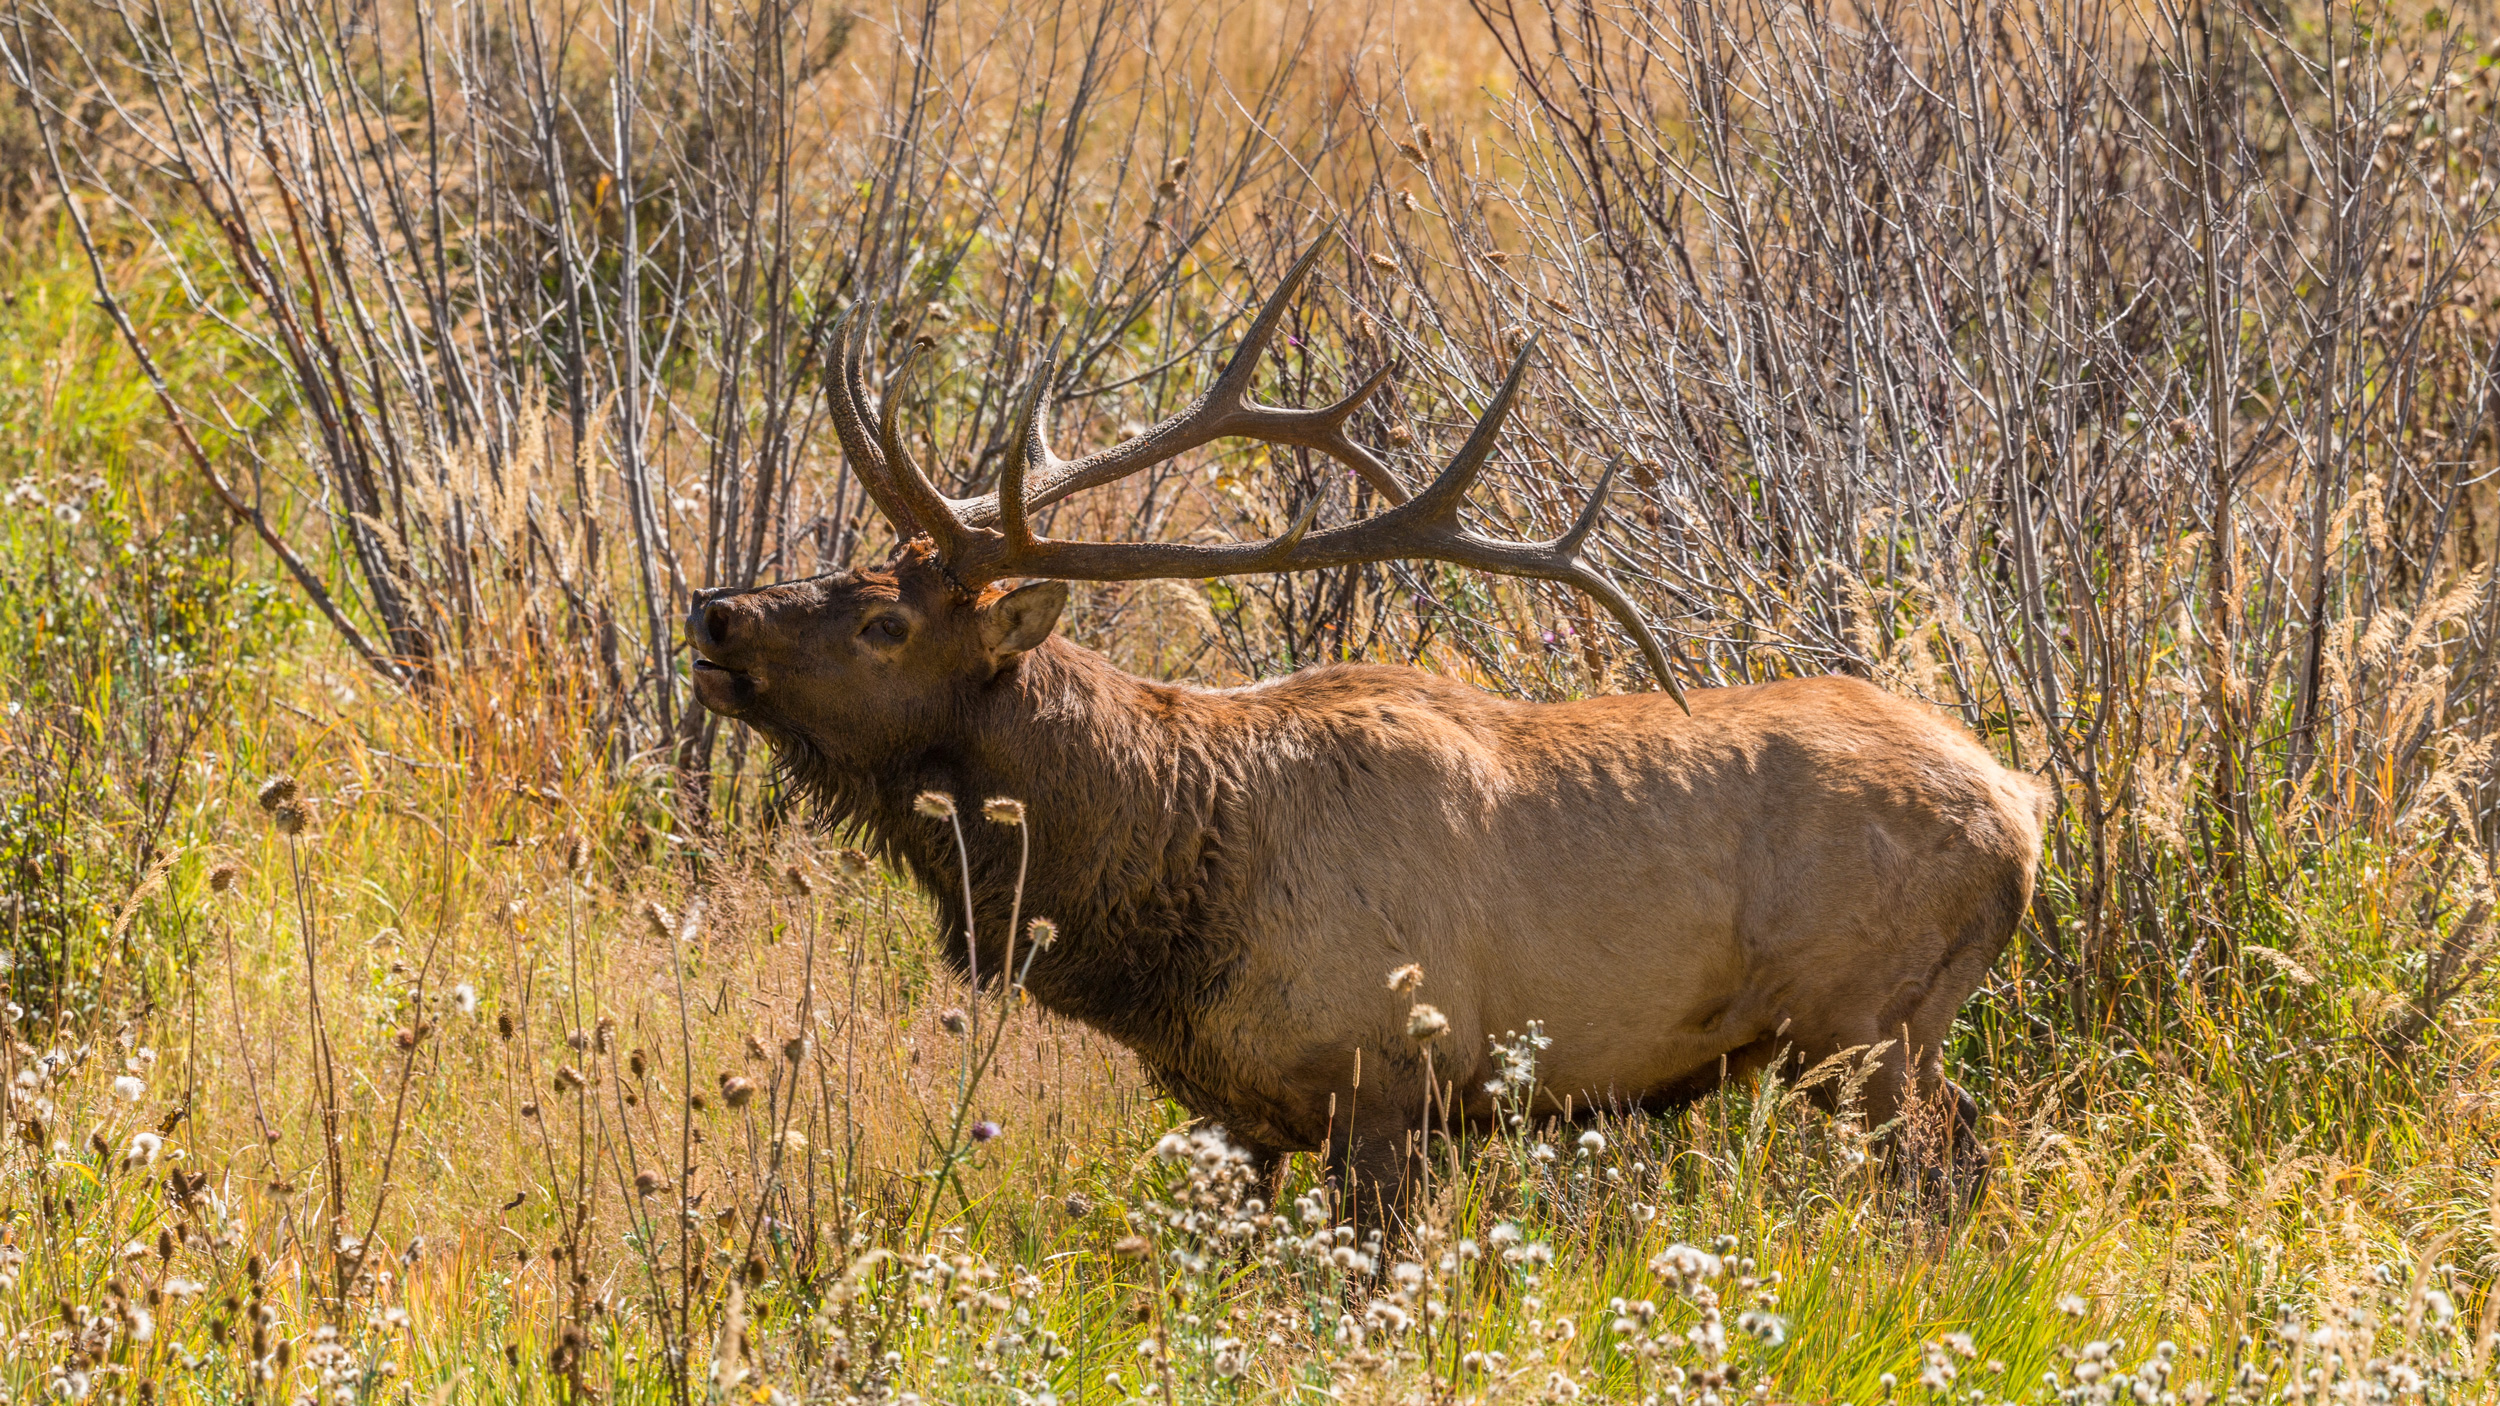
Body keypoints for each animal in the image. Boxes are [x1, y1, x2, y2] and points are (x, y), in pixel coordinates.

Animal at [690, 237, 2050, 1215]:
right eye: (847, 571)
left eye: (884, 624)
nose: (715, 611)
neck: (1164, 886)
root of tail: (2023, 804)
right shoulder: (1229, 1110)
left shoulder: (1391, 1083)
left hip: (1870, 1022)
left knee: (1948, 1168)